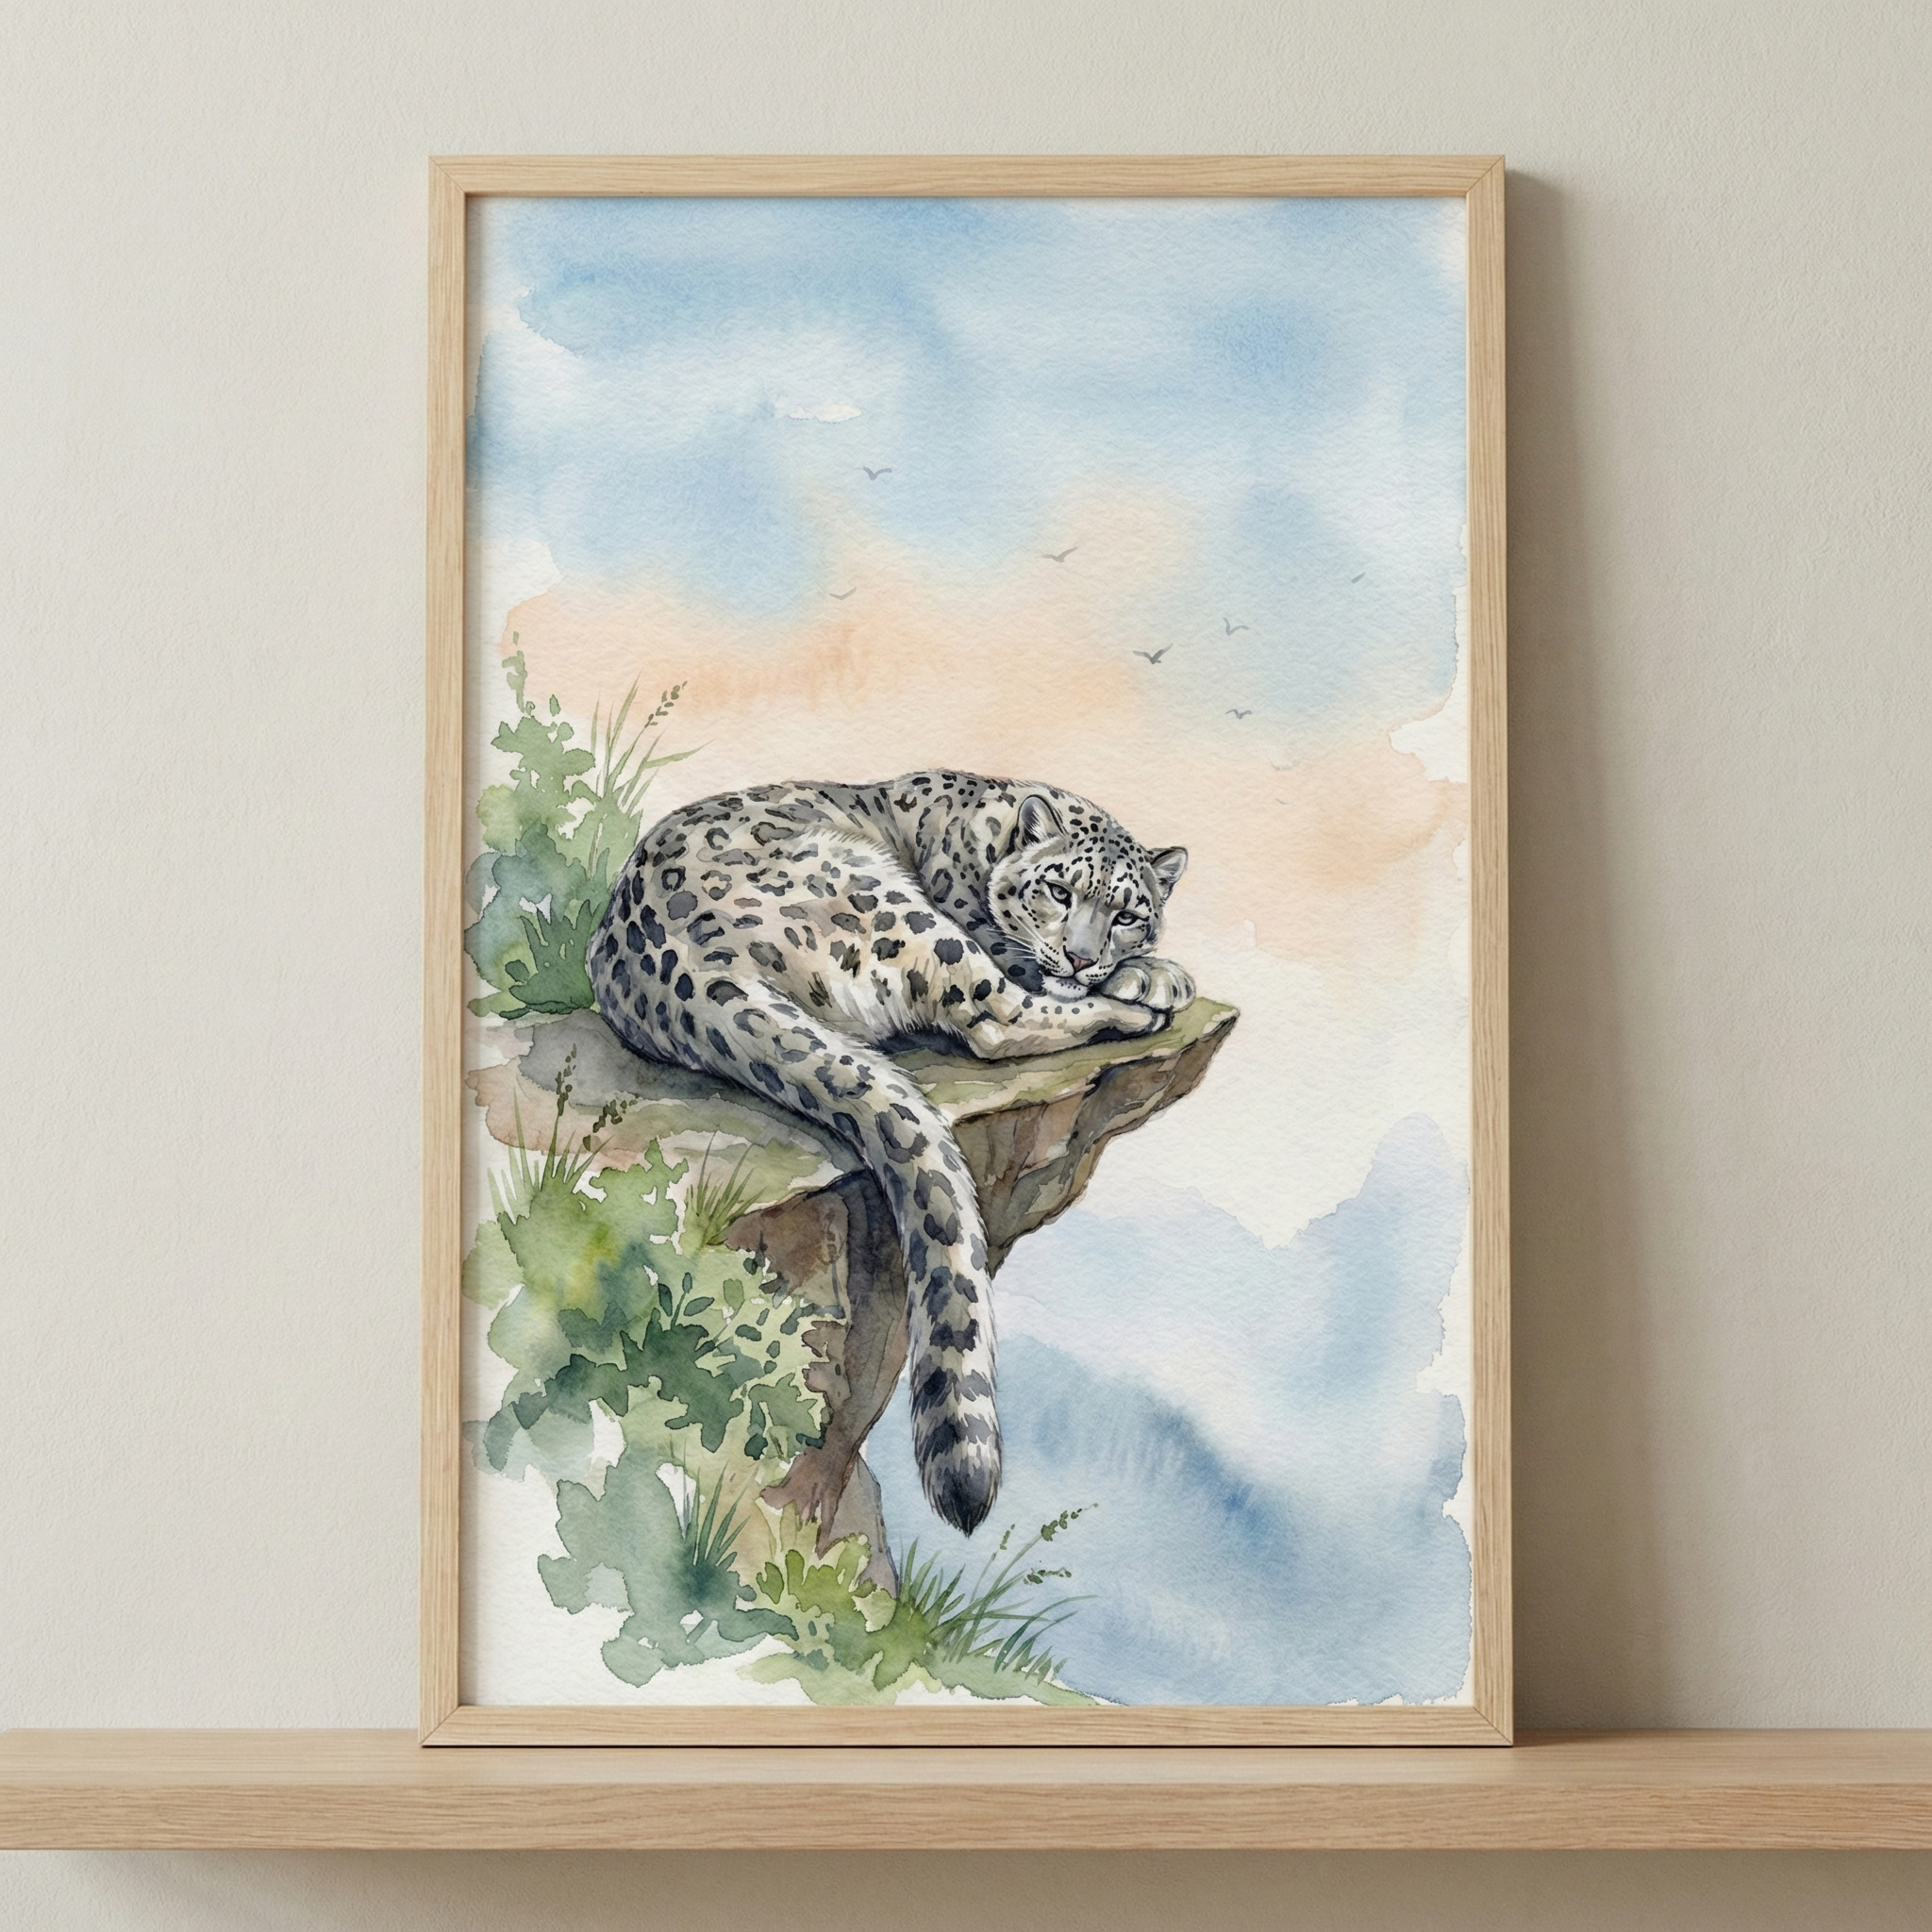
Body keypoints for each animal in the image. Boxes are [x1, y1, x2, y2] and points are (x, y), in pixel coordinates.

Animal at [586, 768, 1193, 1536]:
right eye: (1059, 891)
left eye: (1127, 914)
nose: (1084, 957)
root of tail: (683, 972)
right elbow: (1028, 975)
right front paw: (1153, 978)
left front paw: (1147, 967)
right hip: (901, 912)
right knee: (999, 1017)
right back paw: (1128, 1013)